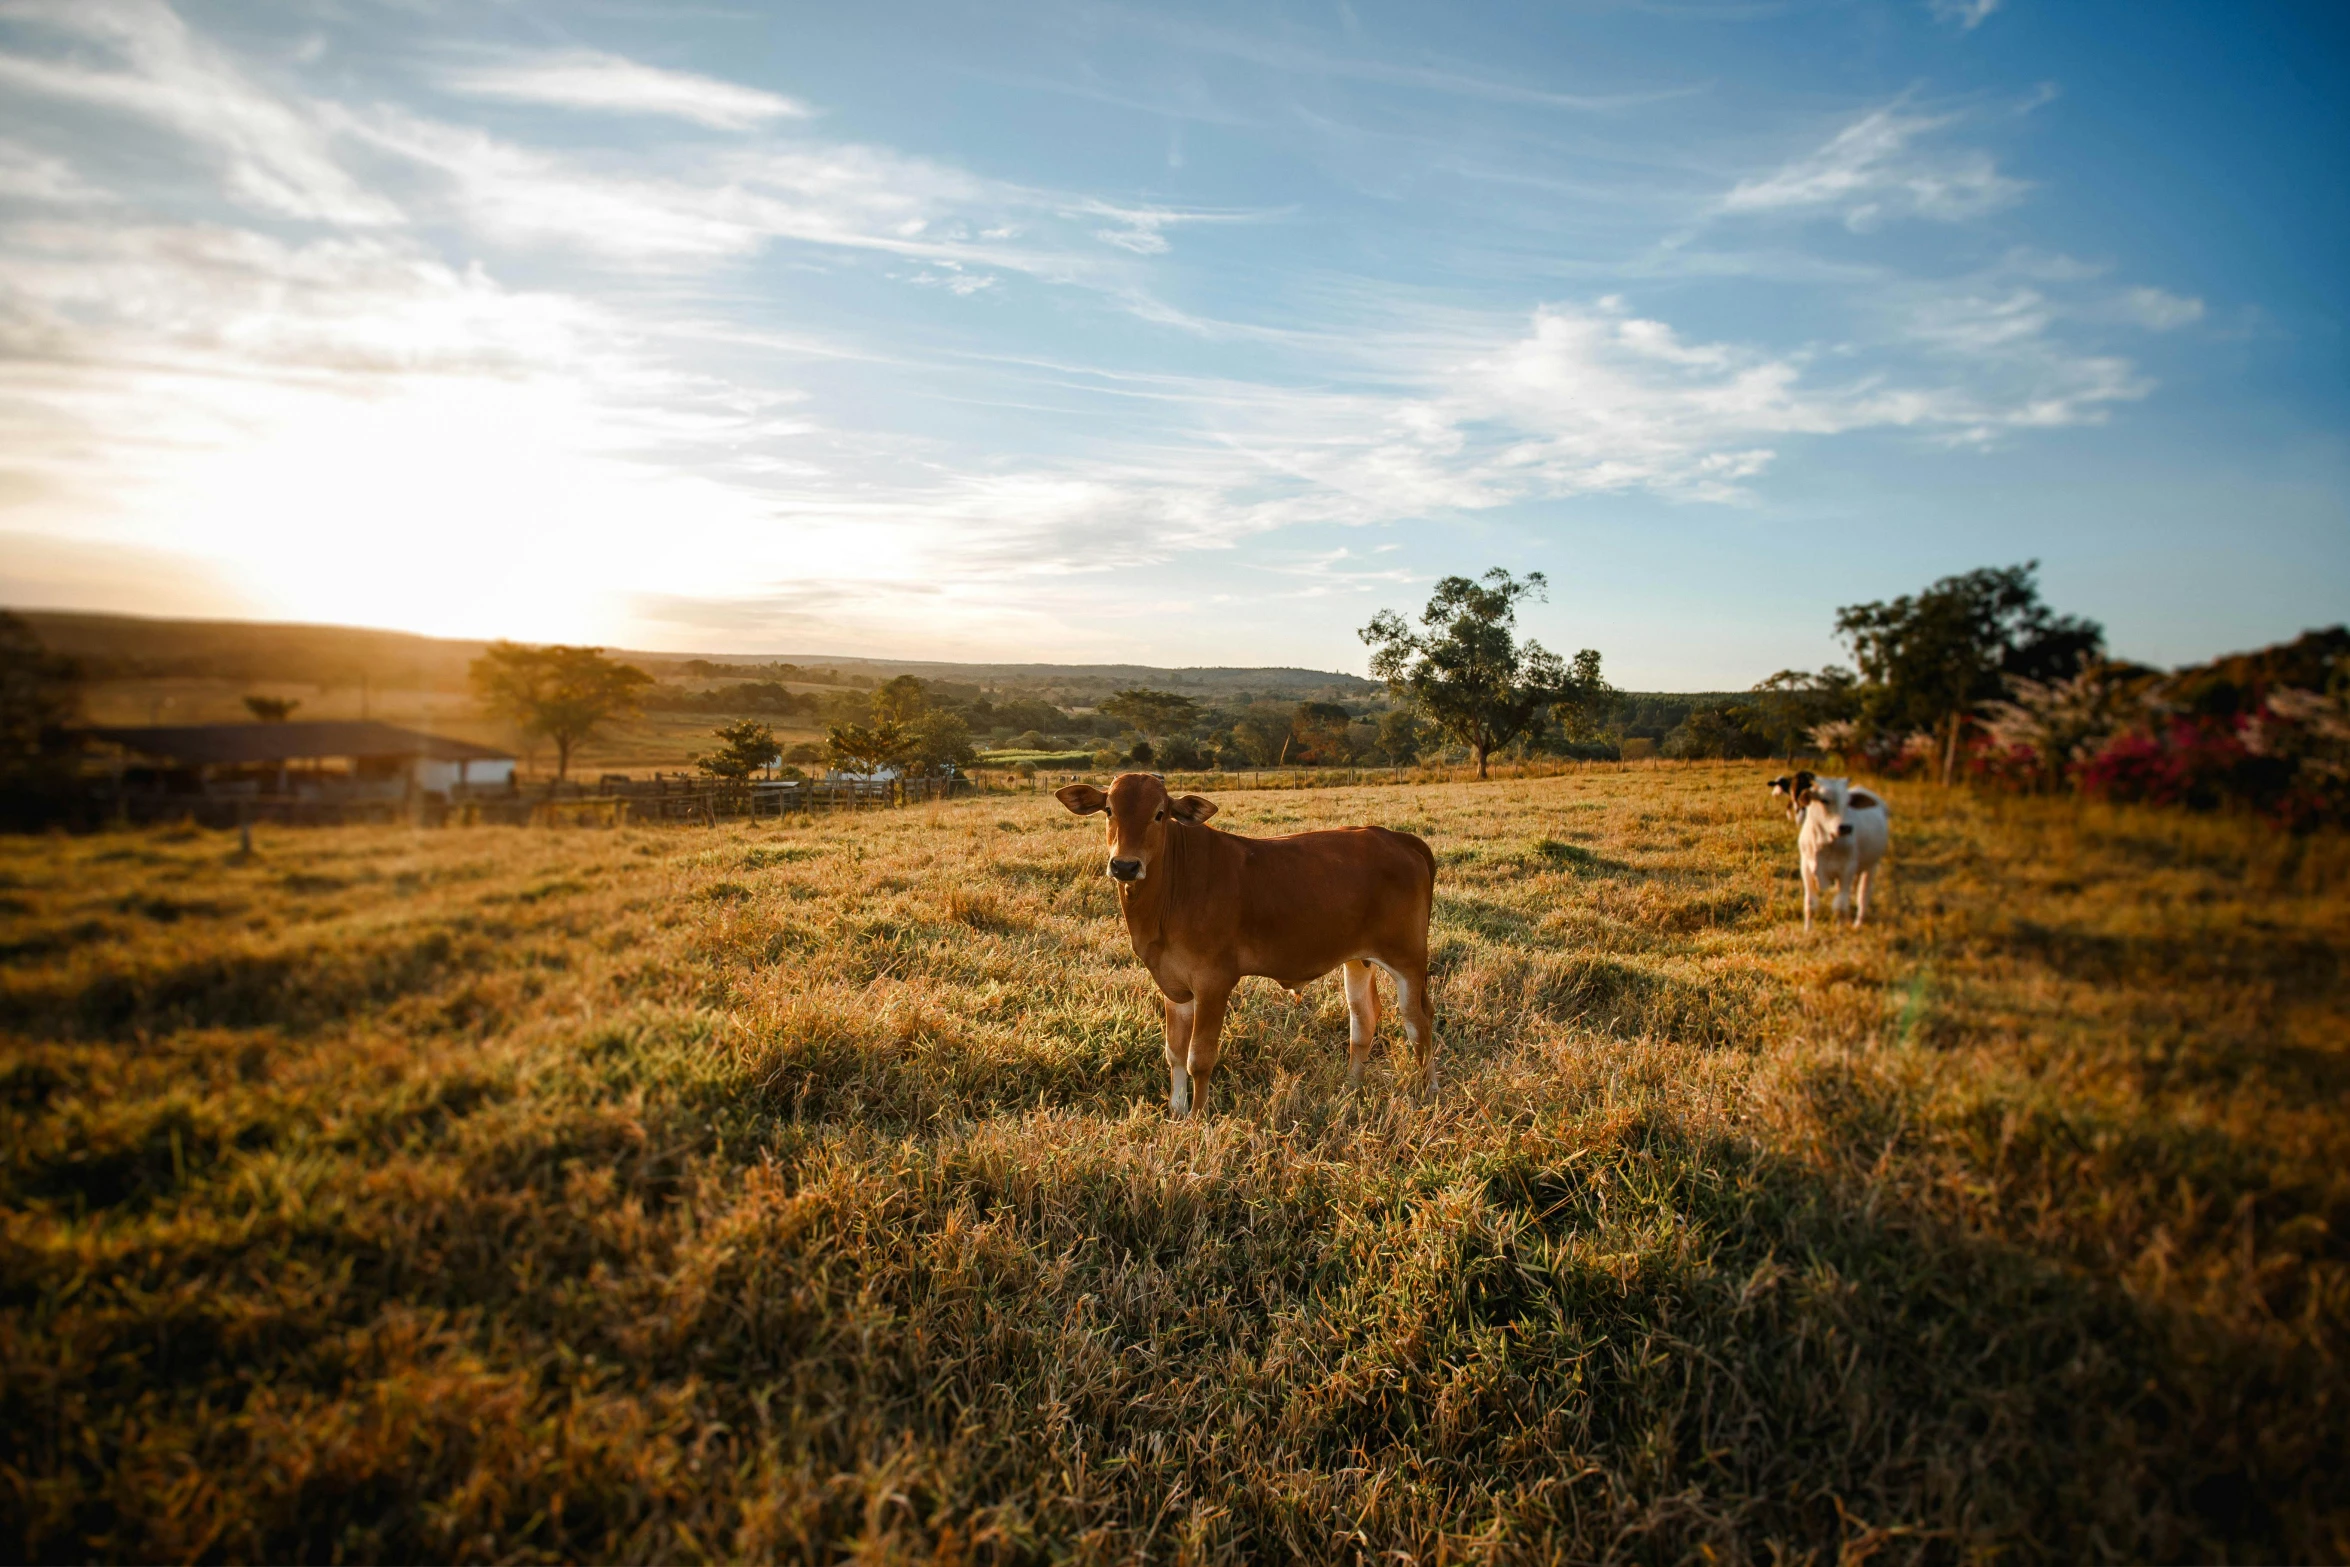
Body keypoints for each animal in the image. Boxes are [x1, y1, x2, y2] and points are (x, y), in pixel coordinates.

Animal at [1062, 770, 1428, 1113]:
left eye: (1159, 814)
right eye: (1109, 810)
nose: (1125, 866)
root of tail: (1399, 838)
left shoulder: (1213, 982)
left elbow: (1199, 1058)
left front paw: (1197, 1118)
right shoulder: (1173, 986)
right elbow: (1175, 1052)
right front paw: (1176, 1110)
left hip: (1408, 960)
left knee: (1418, 1023)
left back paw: (1427, 1092)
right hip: (1357, 959)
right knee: (1363, 1019)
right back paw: (1351, 1088)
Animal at [1785, 775, 1898, 930]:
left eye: (1848, 802)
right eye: (1824, 800)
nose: (1846, 827)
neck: (1824, 843)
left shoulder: (1847, 869)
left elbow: (1839, 906)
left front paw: (1840, 930)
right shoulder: (1806, 868)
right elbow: (1810, 904)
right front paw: (1808, 930)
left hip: (1871, 865)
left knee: (1863, 894)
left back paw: (1858, 923)